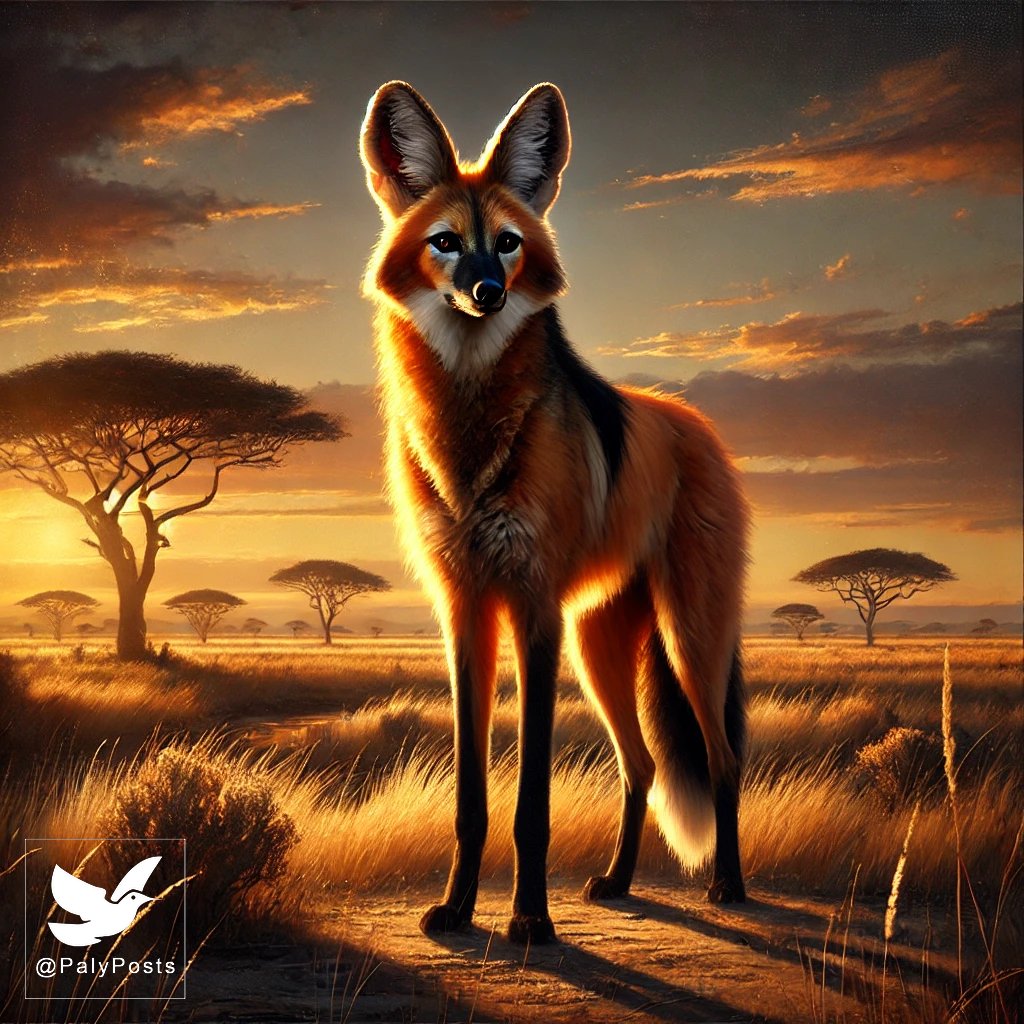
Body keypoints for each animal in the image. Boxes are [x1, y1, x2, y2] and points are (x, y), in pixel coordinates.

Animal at [360, 81, 749, 946]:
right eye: (446, 242)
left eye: (506, 245)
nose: (488, 294)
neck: (471, 446)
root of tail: (699, 425)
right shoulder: (465, 613)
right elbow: (473, 803)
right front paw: (457, 911)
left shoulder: (533, 610)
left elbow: (529, 804)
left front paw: (531, 920)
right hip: (600, 648)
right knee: (642, 767)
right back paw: (618, 880)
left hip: (686, 639)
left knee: (722, 760)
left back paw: (730, 888)